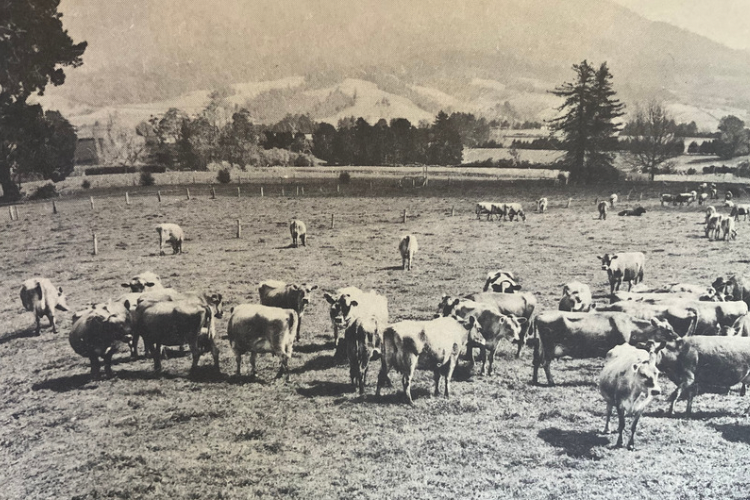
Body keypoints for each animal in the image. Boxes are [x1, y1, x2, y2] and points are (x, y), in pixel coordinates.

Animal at [528, 310, 680, 384]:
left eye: (672, 327)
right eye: (668, 330)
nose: (678, 337)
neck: (630, 325)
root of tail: (540, 315)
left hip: (540, 346)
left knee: (536, 361)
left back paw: (535, 380)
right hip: (549, 348)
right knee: (545, 363)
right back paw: (551, 382)